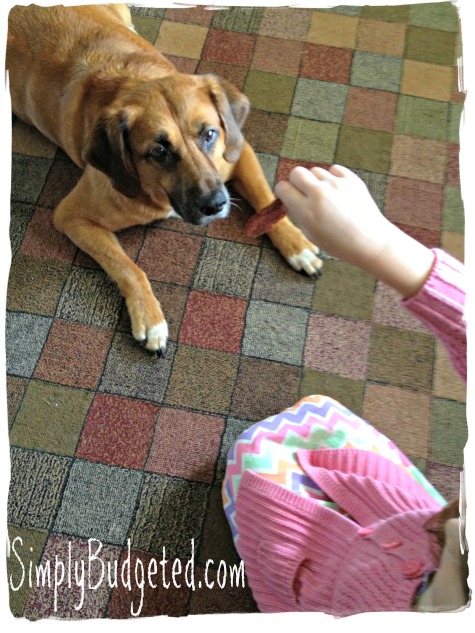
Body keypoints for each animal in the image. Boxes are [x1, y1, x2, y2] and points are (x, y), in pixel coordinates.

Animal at [7, 3, 322, 350]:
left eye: (209, 134)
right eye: (158, 152)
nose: (216, 204)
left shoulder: (238, 153)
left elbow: (266, 198)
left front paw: (297, 244)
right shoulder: (72, 216)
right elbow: (129, 267)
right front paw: (150, 318)